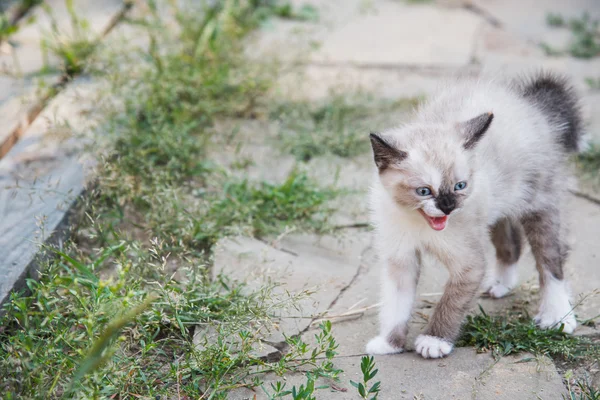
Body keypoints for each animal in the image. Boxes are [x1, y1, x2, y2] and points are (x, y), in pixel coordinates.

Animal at [364, 72, 584, 360]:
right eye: (424, 191)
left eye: (460, 185)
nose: (448, 206)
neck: (419, 223)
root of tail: (529, 103)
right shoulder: (399, 259)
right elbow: (395, 305)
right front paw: (389, 343)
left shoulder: (468, 263)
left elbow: (451, 301)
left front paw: (434, 341)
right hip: (498, 207)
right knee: (511, 245)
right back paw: (501, 285)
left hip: (539, 205)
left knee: (550, 261)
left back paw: (558, 317)